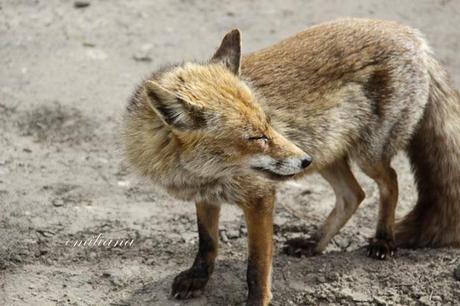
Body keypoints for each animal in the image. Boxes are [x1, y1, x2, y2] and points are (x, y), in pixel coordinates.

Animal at [122, 18, 460, 306]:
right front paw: (198, 278)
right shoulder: (206, 197)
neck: (203, 174)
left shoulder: (261, 199)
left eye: (269, 124)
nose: (302, 160)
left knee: (390, 182)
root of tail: (409, 34)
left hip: (366, 156)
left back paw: (383, 240)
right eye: (255, 137)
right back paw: (314, 244)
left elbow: (257, 267)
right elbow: (207, 243)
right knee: (354, 195)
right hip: (327, 154)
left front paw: (257, 300)